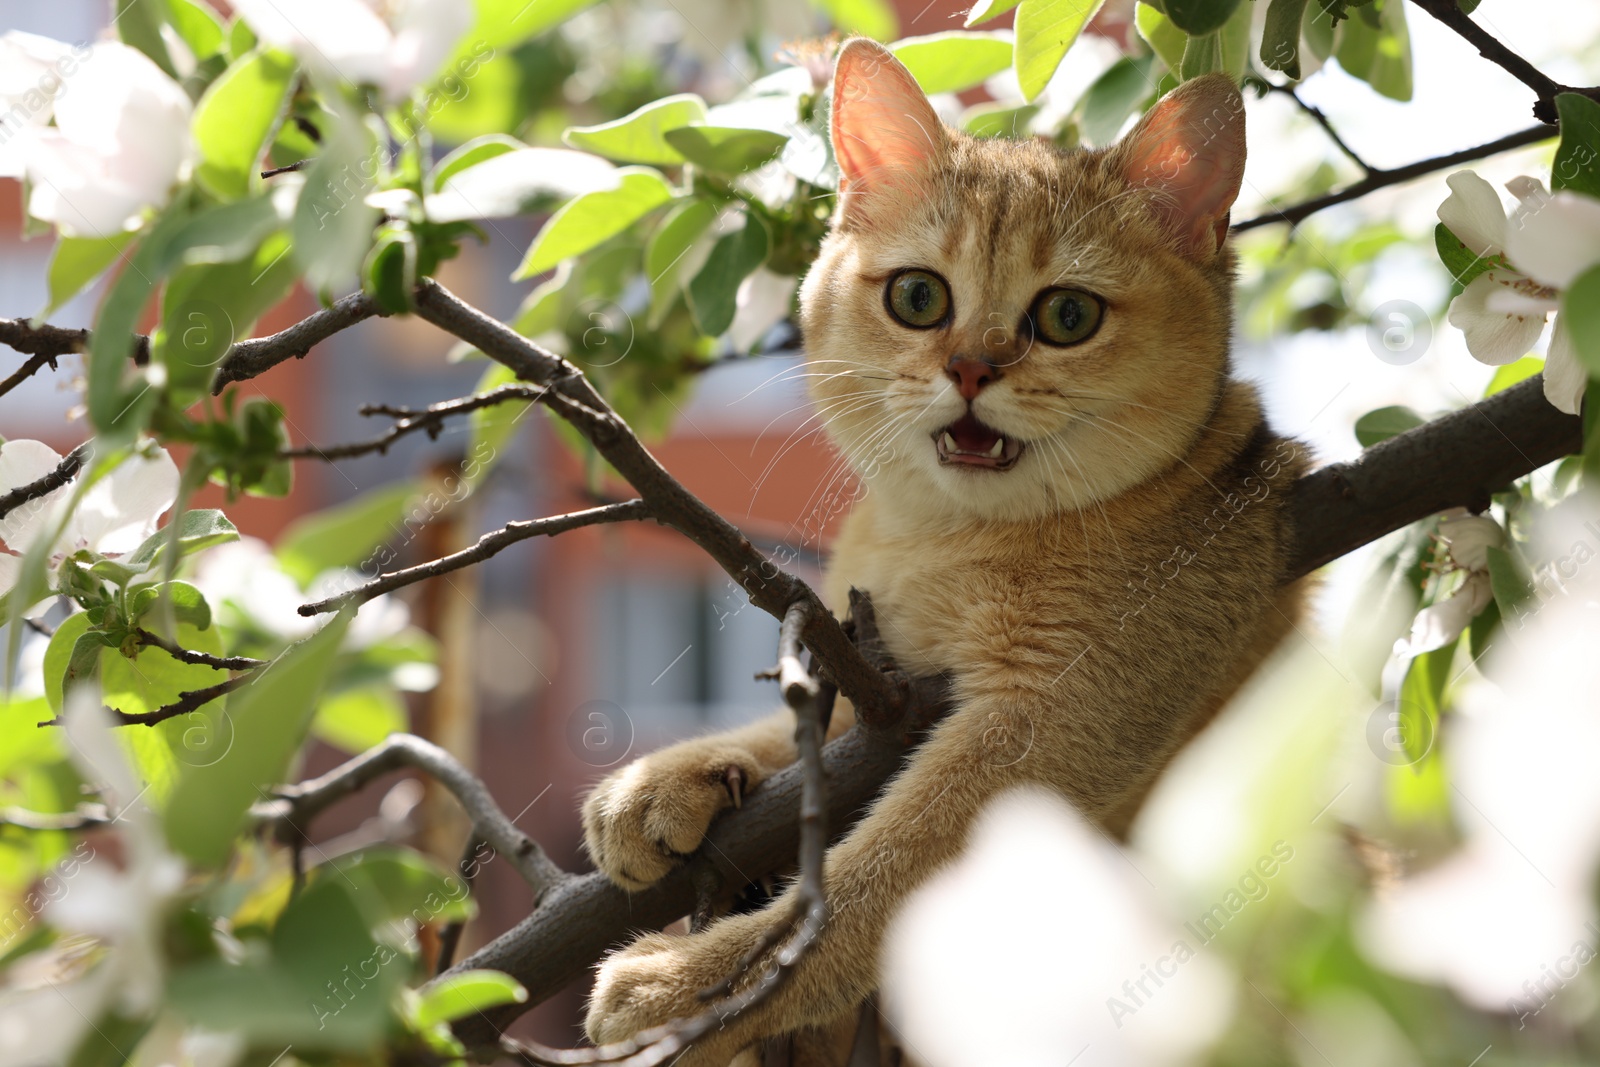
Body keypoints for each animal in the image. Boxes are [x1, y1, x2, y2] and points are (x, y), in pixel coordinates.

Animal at [582, 37, 1305, 1062]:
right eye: (918, 297)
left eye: (1069, 316)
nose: (969, 366)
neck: (945, 541)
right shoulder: (884, 677)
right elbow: (803, 730)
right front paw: (669, 777)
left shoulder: (1054, 721)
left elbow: (867, 883)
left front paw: (694, 987)